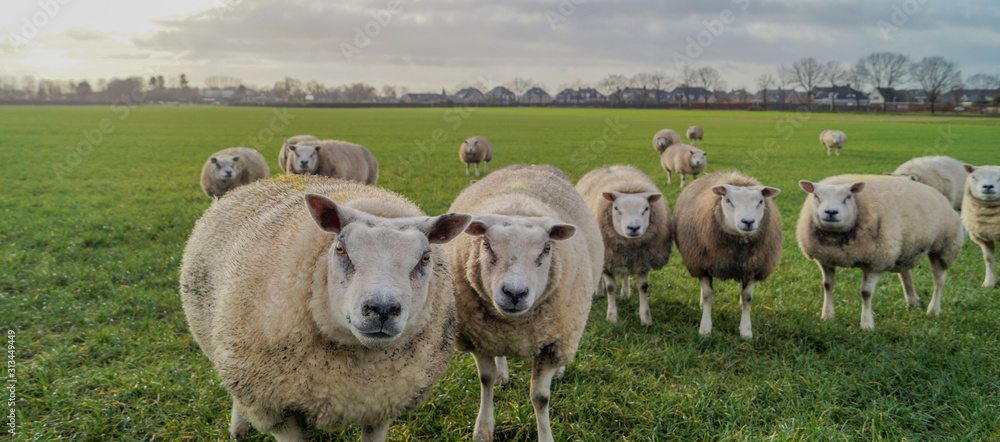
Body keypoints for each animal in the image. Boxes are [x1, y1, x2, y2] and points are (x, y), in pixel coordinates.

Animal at [180, 175, 471, 442]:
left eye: (425, 258)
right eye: (340, 249)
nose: (382, 309)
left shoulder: (381, 405)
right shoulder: (278, 411)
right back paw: (238, 428)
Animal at [443, 165, 603, 442]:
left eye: (547, 248)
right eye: (486, 244)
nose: (514, 293)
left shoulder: (553, 343)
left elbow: (540, 398)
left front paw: (546, 436)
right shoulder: (478, 337)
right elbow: (485, 379)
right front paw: (483, 428)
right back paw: (503, 373)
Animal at [576, 165, 671, 326]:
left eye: (646, 209)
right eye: (616, 209)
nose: (633, 228)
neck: (629, 244)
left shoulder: (642, 260)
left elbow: (643, 287)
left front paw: (645, 318)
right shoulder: (608, 259)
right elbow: (610, 288)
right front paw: (612, 317)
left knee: (626, 274)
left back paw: (625, 293)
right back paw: (598, 291)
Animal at [672, 171, 782, 339]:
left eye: (760, 201)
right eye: (728, 200)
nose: (748, 221)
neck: (735, 252)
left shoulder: (753, 268)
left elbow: (747, 298)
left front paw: (746, 331)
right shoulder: (702, 265)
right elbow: (708, 295)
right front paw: (705, 328)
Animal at [796, 174, 964, 331]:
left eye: (848, 197)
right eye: (816, 196)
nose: (831, 212)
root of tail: (938, 194)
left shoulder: (876, 261)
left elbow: (866, 293)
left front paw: (866, 324)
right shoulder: (826, 258)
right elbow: (827, 286)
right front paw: (827, 316)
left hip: (944, 247)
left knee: (939, 281)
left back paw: (933, 309)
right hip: (902, 249)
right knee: (905, 274)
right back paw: (912, 301)